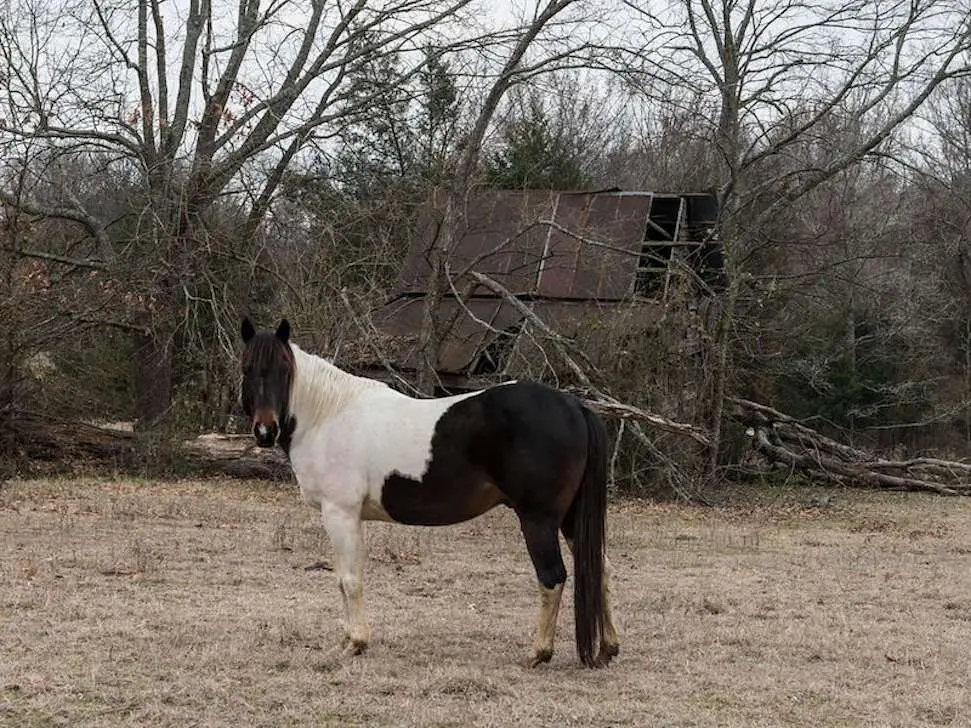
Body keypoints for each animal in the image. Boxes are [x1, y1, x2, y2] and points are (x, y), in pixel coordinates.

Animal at [238, 316, 620, 668]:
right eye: (247, 368)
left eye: (284, 368)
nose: (265, 430)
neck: (328, 415)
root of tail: (575, 407)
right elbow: (343, 579)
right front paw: (348, 641)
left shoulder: (340, 513)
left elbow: (349, 579)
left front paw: (355, 644)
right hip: (569, 519)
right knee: (599, 568)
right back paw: (607, 648)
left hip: (538, 520)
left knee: (552, 577)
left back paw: (538, 652)